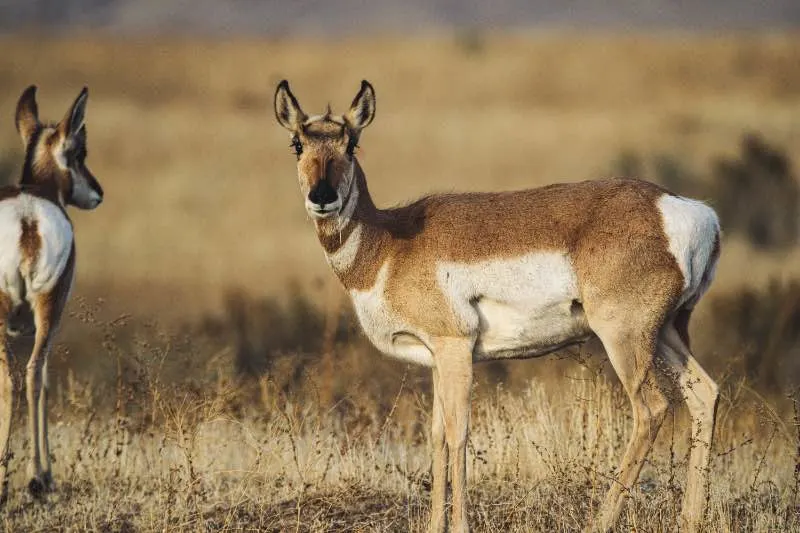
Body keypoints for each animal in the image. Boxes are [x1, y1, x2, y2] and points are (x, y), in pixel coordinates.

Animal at [274, 80, 720, 532]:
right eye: (297, 143)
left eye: (351, 143)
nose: (322, 197)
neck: (389, 244)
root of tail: (687, 211)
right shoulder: (436, 358)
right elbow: (436, 436)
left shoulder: (455, 348)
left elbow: (458, 433)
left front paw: (459, 526)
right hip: (666, 333)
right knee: (705, 394)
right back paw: (691, 519)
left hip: (625, 338)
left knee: (652, 409)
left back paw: (601, 521)